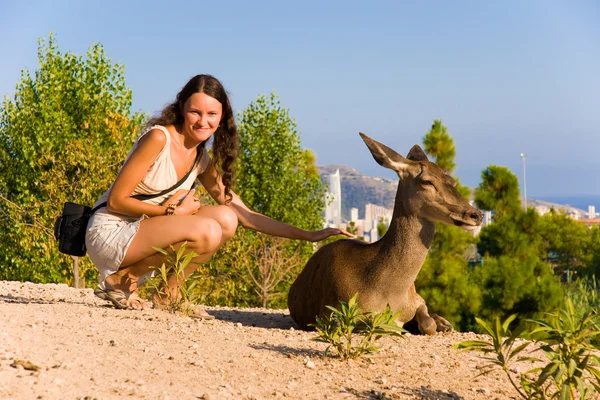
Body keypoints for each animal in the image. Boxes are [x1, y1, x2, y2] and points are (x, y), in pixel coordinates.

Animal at [288, 132, 482, 334]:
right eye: (427, 181)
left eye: (451, 181)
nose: (476, 214)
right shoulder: (330, 313)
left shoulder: (416, 299)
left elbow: (427, 321)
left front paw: (437, 323)